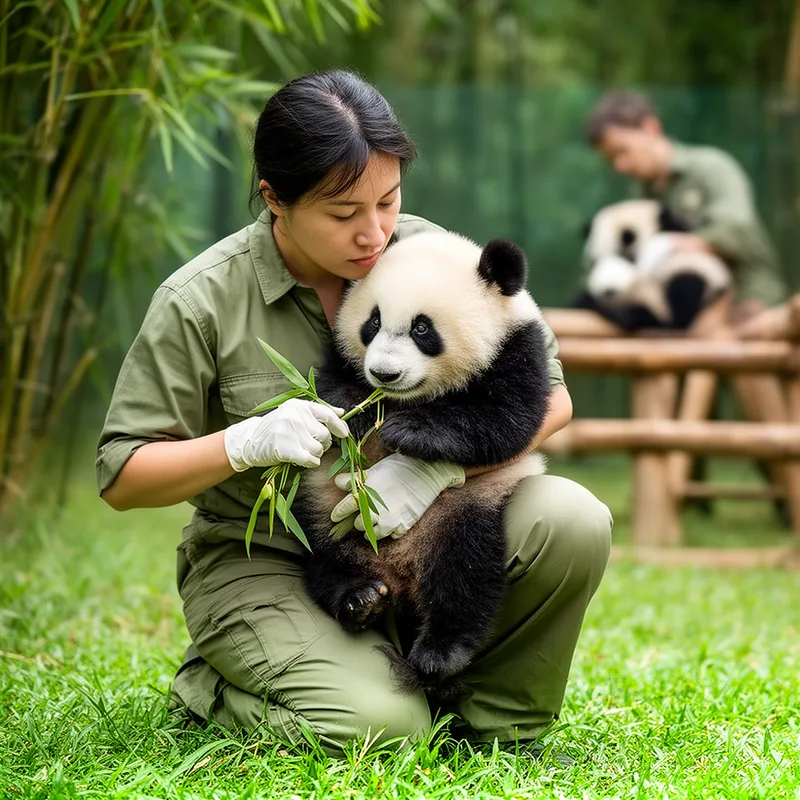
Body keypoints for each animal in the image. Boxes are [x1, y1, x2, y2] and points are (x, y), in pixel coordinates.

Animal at [292, 230, 553, 699]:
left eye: (421, 328)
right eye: (373, 322)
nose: (384, 374)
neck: (410, 397)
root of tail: (399, 573)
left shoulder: (517, 349)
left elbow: (507, 420)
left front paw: (409, 432)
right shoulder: (341, 353)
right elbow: (333, 385)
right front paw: (353, 414)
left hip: (463, 506)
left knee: (465, 570)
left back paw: (439, 650)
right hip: (329, 506)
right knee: (323, 552)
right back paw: (359, 598)